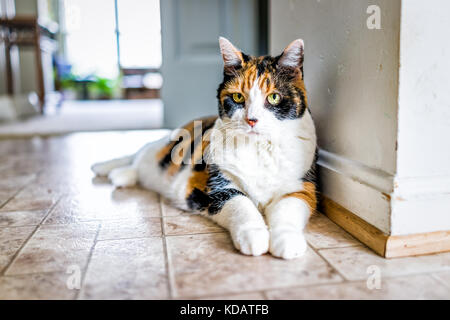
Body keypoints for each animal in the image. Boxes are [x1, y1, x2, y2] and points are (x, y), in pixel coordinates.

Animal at [91, 38, 316, 260]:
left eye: (274, 97)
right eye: (238, 97)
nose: (252, 120)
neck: (258, 148)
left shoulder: (301, 187)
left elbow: (288, 210)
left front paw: (287, 240)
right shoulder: (215, 187)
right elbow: (242, 205)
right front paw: (254, 236)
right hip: (158, 151)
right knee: (139, 154)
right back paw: (109, 170)